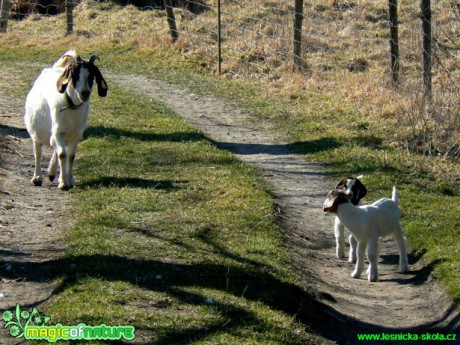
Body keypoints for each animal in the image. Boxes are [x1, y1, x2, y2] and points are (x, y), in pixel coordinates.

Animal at [25, 50, 108, 189]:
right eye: (74, 74)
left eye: (91, 76)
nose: (84, 93)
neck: (71, 106)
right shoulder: (58, 131)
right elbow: (62, 154)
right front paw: (63, 183)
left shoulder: (76, 134)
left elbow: (70, 156)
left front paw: (69, 180)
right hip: (37, 131)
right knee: (38, 151)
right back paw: (37, 178)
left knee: (55, 147)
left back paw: (51, 173)